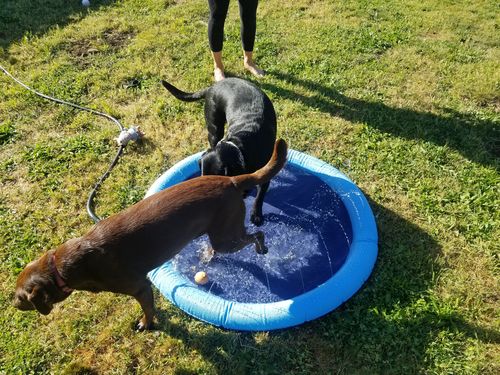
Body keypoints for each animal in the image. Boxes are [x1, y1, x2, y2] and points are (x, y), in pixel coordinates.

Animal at [13, 140, 288, 330]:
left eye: (21, 297)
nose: (12, 304)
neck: (64, 265)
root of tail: (232, 181)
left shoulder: (141, 287)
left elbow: (147, 310)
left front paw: (145, 324)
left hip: (226, 237)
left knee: (257, 234)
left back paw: (261, 248)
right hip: (220, 234)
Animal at [162, 77, 278, 226]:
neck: (240, 148)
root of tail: (213, 86)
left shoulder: (267, 172)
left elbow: (259, 196)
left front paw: (256, 215)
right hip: (214, 127)